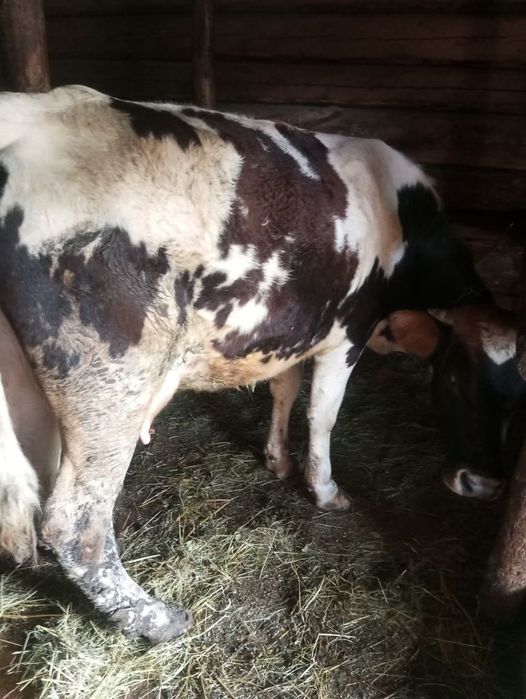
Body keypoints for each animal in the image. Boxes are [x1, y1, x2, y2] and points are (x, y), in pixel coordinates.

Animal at [0, 85, 491, 643]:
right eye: (455, 379)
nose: (477, 483)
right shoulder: (347, 332)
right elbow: (323, 415)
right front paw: (325, 490)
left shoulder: (291, 327)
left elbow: (284, 390)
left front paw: (277, 460)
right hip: (110, 380)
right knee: (75, 521)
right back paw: (154, 618)